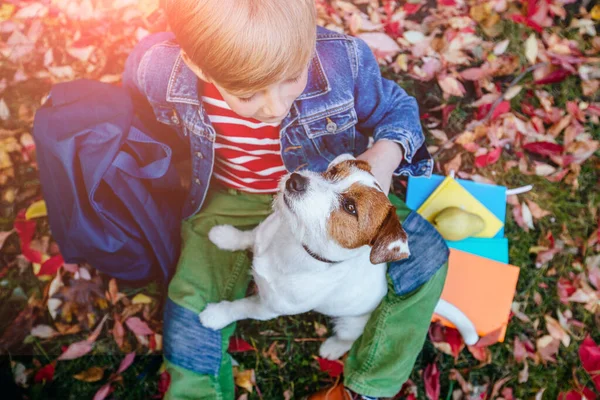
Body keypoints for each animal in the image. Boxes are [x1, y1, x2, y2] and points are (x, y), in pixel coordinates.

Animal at [199, 153, 410, 360]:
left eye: (350, 207)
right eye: (332, 172)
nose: (295, 180)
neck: (296, 244)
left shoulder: (268, 308)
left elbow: (241, 307)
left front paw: (216, 315)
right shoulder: (259, 235)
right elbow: (247, 236)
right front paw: (224, 236)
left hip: (350, 325)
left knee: (348, 340)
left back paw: (332, 348)